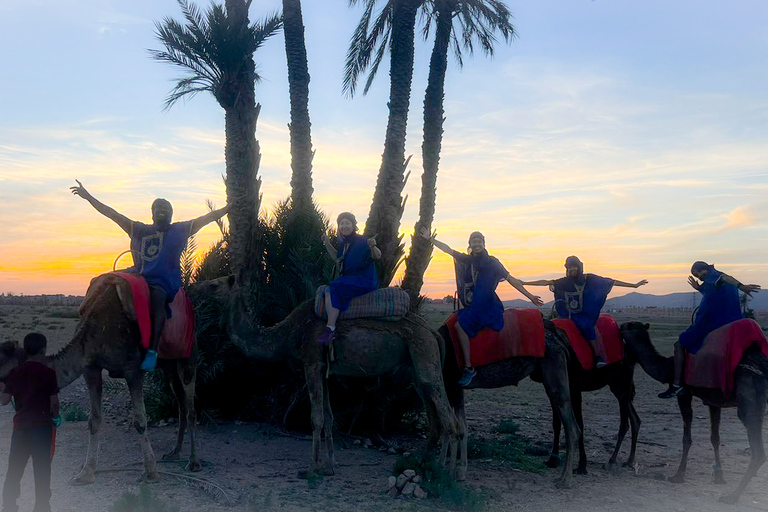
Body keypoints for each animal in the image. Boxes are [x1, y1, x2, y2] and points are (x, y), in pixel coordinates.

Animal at [0, 278, 201, 486]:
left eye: (6, 370)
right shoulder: (91, 368)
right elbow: (94, 420)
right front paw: (86, 473)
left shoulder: (132, 369)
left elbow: (140, 420)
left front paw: (151, 473)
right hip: (169, 365)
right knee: (181, 404)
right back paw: (175, 453)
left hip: (188, 355)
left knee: (191, 407)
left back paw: (193, 462)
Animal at [194, 274, 462, 478]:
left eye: (215, 285)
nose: (195, 287)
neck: (287, 333)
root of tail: (432, 331)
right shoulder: (324, 371)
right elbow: (329, 417)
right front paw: (330, 466)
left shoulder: (311, 363)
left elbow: (316, 418)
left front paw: (312, 468)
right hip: (417, 365)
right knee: (435, 415)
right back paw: (429, 466)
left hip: (424, 353)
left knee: (449, 418)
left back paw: (446, 473)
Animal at [438, 322, 584, 490]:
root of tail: (561, 342)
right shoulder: (454, 387)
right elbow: (456, 426)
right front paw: (448, 467)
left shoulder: (452, 383)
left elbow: (455, 426)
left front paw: (450, 472)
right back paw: (562, 476)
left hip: (554, 370)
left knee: (571, 427)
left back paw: (565, 480)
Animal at [544, 342, 644, 474]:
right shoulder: (552, 389)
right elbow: (556, 424)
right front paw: (552, 460)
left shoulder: (574, 387)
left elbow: (578, 423)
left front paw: (581, 466)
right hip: (617, 385)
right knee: (634, 419)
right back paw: (629, 461)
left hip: (622, 382)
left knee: (626, 422)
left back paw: (612, 461)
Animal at [620, 320, 764, 504]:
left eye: (629, 326)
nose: (619, 326)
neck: (668, 368)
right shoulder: (713, 401)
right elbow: (715, 438)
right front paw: (719, 477)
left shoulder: (684, 394)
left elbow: (686, 437)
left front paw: (678, 475)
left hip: (750, 402)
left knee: (758, 451)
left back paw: (732, 496)